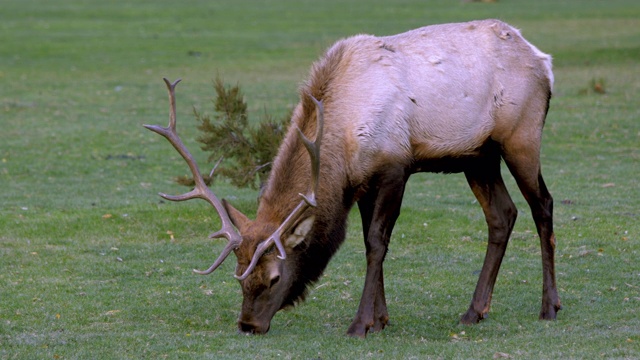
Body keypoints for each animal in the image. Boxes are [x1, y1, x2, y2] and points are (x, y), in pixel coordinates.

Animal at [145, 19, 560, 338]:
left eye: (275, 278)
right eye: (238, 275)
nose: (248, 325)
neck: (342, 137)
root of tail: (544, 61)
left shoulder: (395, 167)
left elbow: (377, 243)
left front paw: (361, 324)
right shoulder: (360, 183)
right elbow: (366, 242)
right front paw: (381, 318)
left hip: (521, 137)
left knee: (543, 205)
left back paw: (549, 306)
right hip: (479, 157)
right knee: (502, 215)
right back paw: (475, 310)